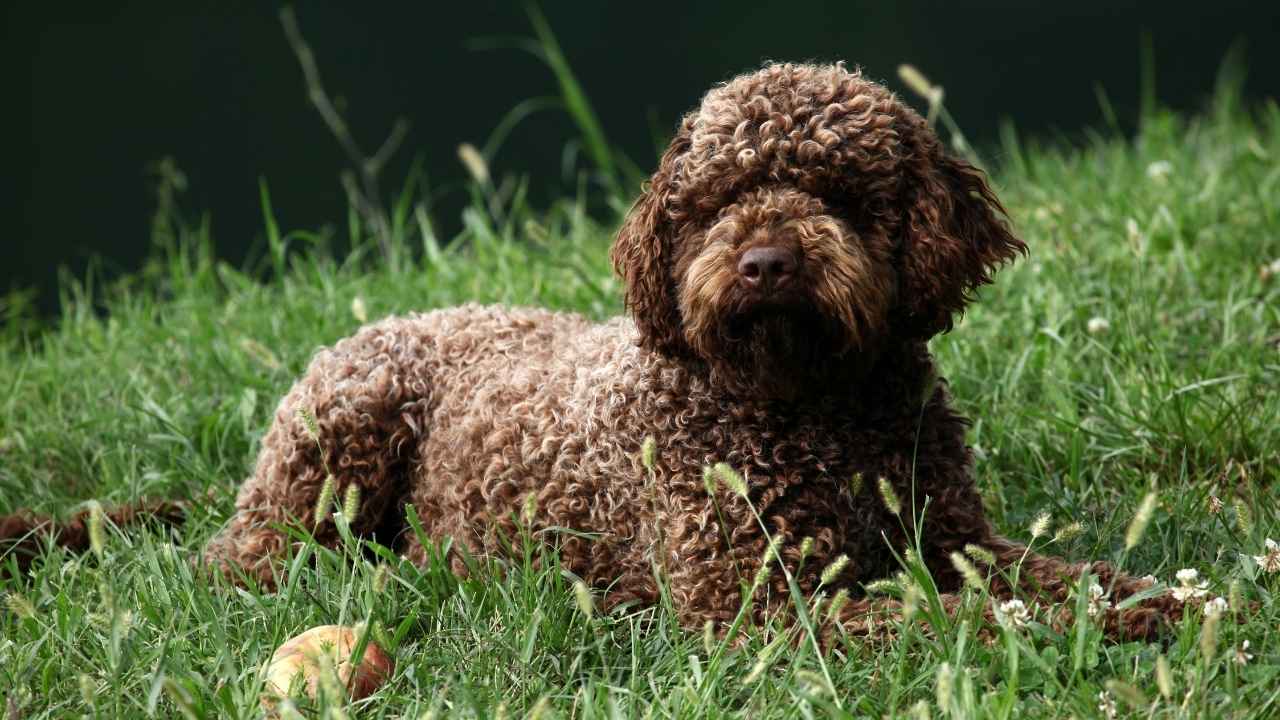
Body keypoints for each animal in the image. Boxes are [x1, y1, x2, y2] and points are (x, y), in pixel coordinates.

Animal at [197, 61, 1172, 632]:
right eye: (717, 199)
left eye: (839, 191)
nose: (766, 262)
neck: (815, 411)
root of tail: (396, 320)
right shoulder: (757, 602)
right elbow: (949, 621)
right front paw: (1049, 633)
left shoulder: (955, 538)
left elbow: (1071, 577)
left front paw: (1162, 605)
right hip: (341, 439)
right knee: (245, 555)